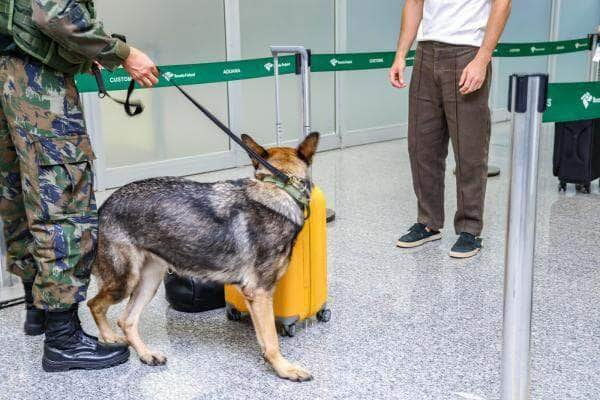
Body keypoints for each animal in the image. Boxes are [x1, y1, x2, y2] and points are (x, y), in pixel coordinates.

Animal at [88, 132, 318, 382]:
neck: (278, 188)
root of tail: (103, 207)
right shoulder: (260, 293)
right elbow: (272, 340)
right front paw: (284, 369)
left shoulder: (256, 296)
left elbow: (264, 339)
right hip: (124, 282)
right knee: (95, 305)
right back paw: (109, 337)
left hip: (149, 283)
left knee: (126, 320)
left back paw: (146, 354)